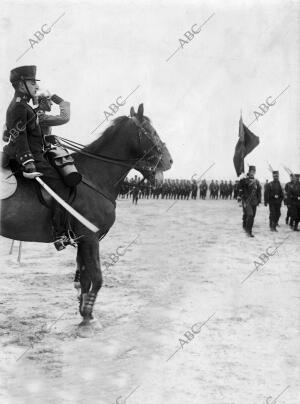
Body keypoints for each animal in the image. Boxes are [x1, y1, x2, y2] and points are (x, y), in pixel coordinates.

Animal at [0, 103, 172, 332]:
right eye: (151, 132)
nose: (169, 161)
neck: (93, 176)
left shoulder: (83, 240)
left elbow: (84, 278)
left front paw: (84, 314)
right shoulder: (90, 238)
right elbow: (97, 277)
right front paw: (89, 318)